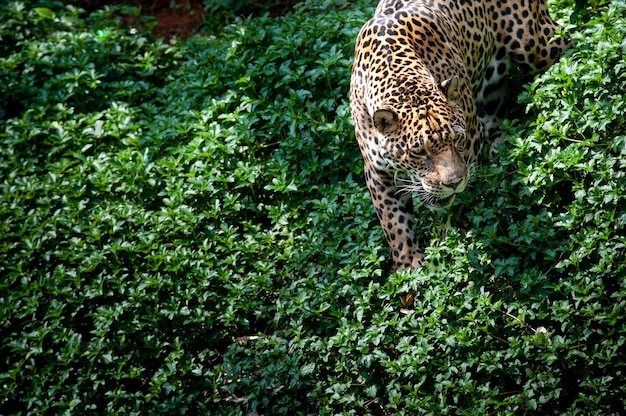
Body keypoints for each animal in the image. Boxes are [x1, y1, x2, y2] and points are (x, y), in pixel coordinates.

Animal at [348, 0, 568, 272]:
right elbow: (393, 221)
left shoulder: (471, 146)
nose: (453, 183)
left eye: (456, 139)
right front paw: (408, 265)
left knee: (566, 40)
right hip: (493, 85)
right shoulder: (377, 172)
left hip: (533, 44)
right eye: (418, 152)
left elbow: (459, 205)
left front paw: (448, 244)